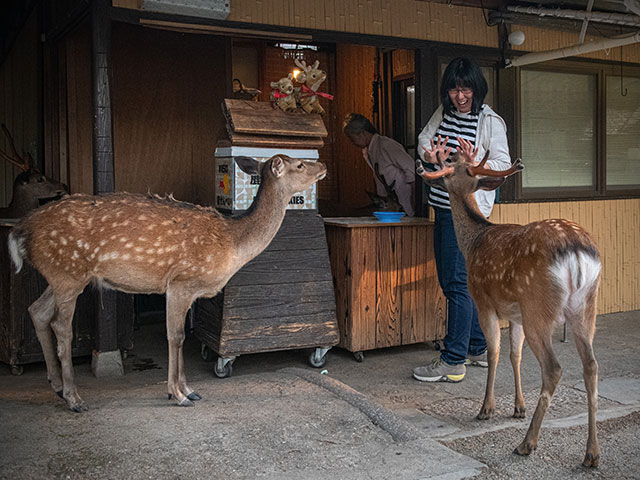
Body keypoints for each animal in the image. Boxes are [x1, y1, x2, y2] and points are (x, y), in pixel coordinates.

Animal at [9, 155, 328, 412]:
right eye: (300, 164)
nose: (323, 165)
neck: (232, 244)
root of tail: (21, 230)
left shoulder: (187, 291)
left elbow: (181, 336)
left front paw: (189, 390)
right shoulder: (181, 282)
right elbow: (176, 337)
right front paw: (178, 394)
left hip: (62, 276)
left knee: (37, 310)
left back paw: (57, 386)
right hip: (68, 272)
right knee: (61, 326)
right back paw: (74, 398)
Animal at [418, 136, 604, 468]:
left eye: (449, 166)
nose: (428, 174)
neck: (474, 241)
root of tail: (577, 250)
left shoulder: (484, 302)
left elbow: (493, 353)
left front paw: (486, 409)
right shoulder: (514, 313)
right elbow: (514, 355)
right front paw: (518, 407)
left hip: (538, 306)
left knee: (554, 368)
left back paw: (527, 443)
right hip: (585, 306)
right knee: (592, 365)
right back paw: (591, 454)